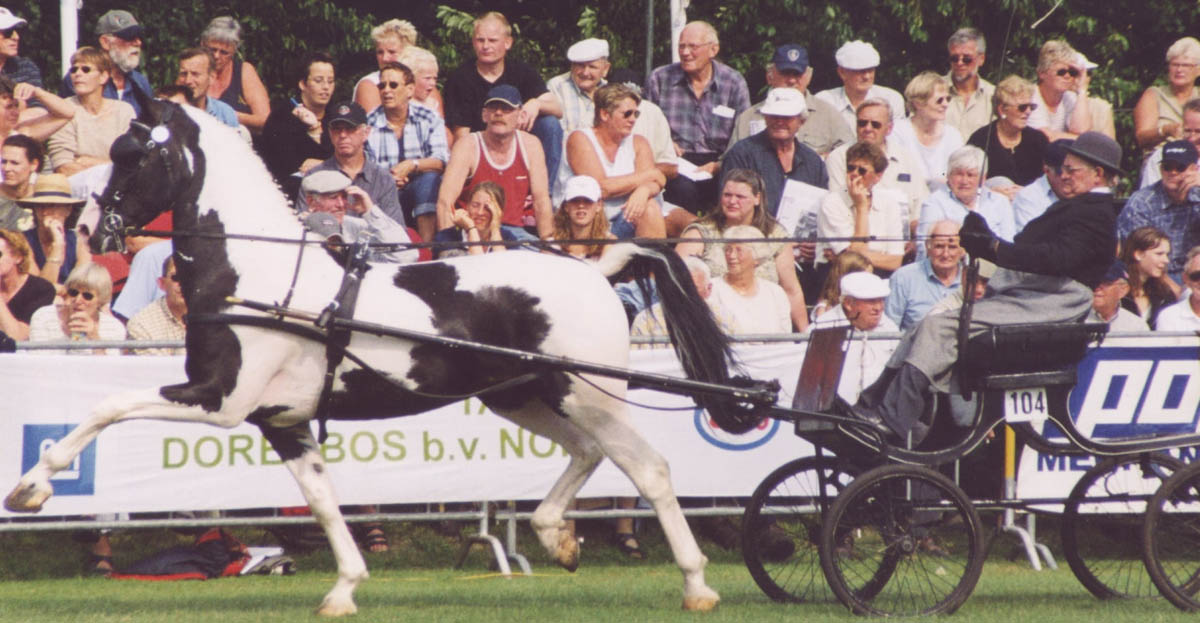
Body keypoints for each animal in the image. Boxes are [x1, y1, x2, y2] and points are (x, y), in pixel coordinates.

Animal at [4, 92, 758, 614]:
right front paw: (344, 589)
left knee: (648, 468)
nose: (91, 227)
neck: (255, 276)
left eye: (134, 155)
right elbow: (323, 501)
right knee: (589, 455)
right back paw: (556, 537)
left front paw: (33, 486)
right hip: (523, 397)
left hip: (585, 395)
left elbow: (107, 405)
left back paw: (696, 585)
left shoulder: (220, 400)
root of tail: (598, 270)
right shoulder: (279, 421)